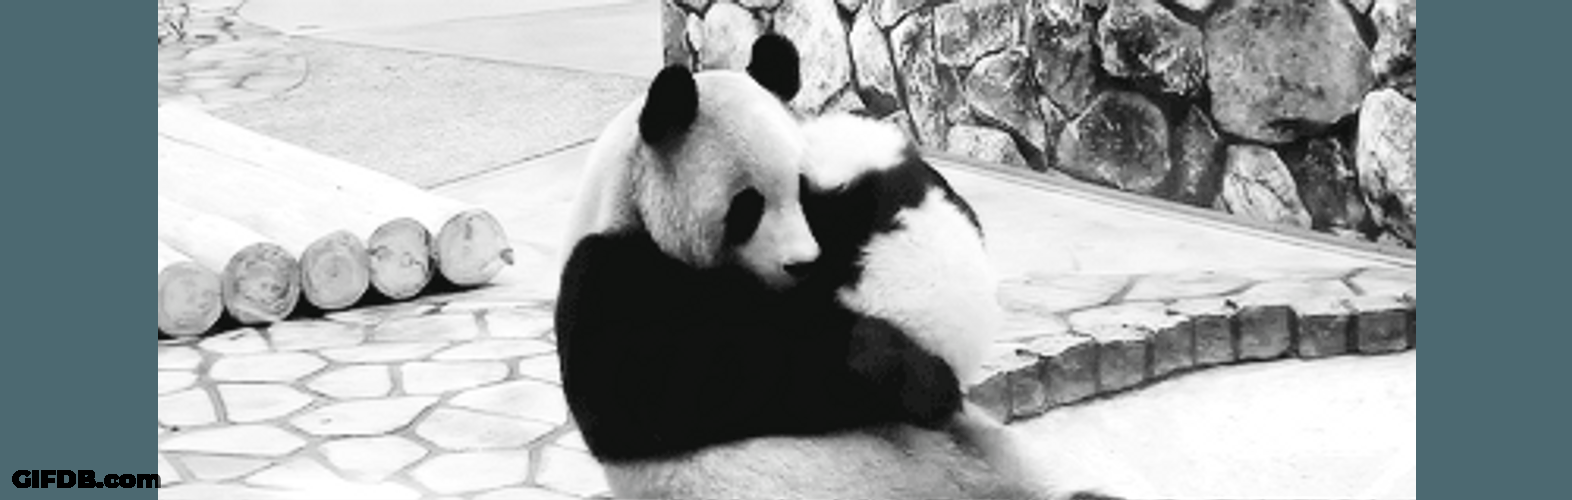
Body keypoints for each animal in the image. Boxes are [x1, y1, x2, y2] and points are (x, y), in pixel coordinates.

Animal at [556, 34, 1105, 500]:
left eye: (796, 194)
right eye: (747, 209)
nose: (804, 263)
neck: (626, 201)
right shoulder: (613, 279)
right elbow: (697, 382)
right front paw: (923, 375)